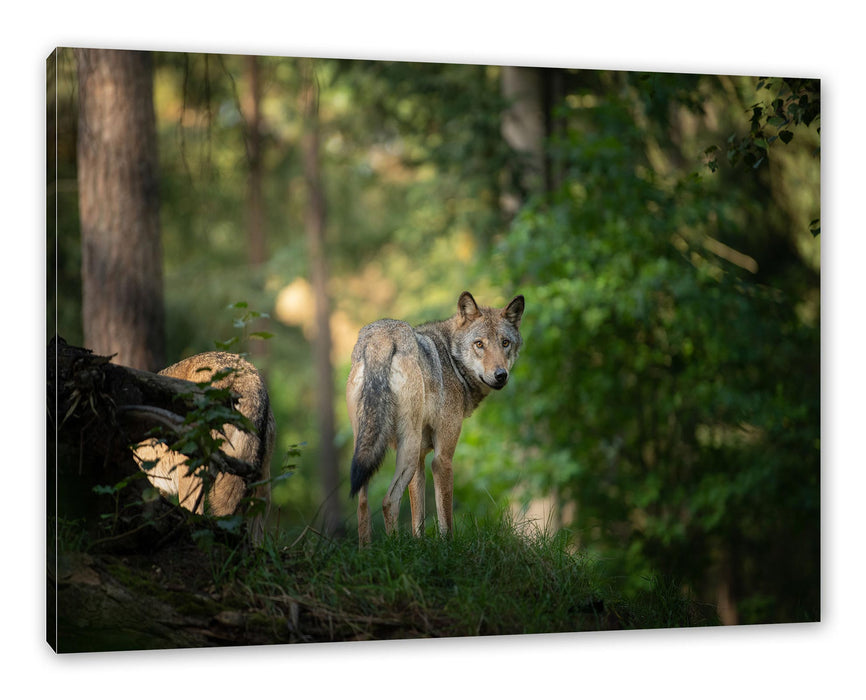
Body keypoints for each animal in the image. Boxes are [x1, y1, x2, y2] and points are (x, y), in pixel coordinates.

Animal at [346, 290, 524, 548]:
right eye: (479, 344)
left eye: (505, 343)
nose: (501, 375)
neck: (452, 360)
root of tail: (382, 337)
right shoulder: (441, 459)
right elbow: (445, 518)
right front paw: (448, 548)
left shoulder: (421, 461)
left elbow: (418, 519)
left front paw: (419, 546)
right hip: (407, 451)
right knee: (388, 501)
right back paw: (394, 548)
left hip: (367, 449)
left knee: (362, 503)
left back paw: (366, 552)